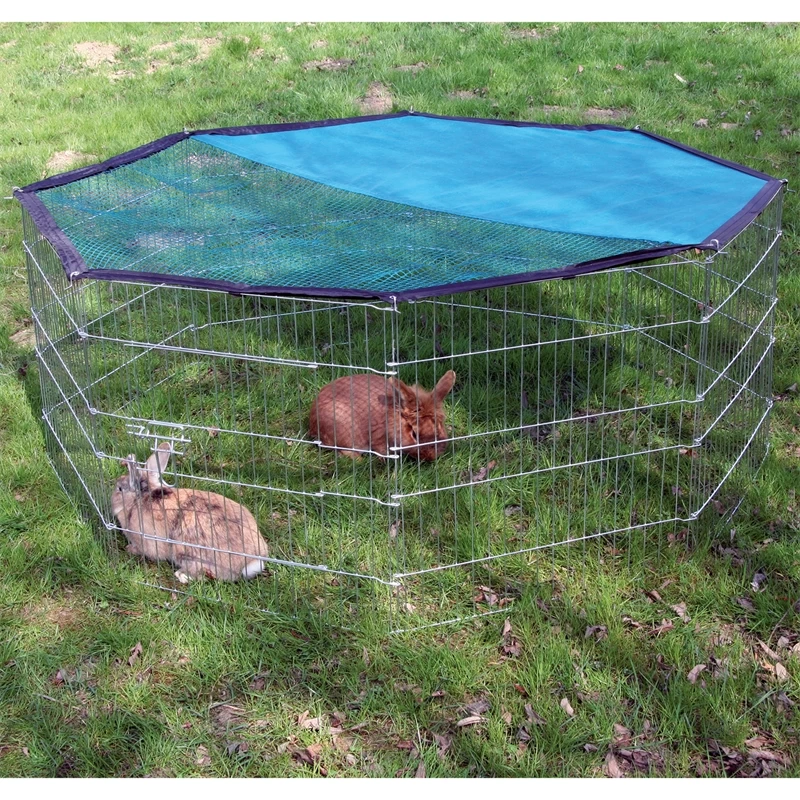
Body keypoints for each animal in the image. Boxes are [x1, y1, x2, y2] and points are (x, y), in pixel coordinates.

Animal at [110, 442, 269, 583]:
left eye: (119, 489)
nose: (111, 500)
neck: (138, 499)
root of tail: (250, 561)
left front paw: (130, 549)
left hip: (187, 550)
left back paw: (181, 575)